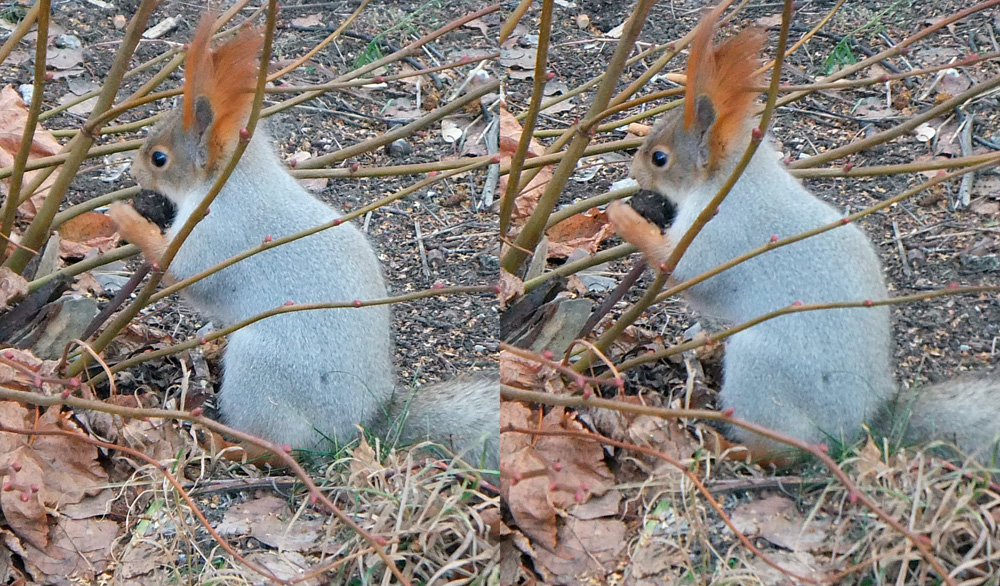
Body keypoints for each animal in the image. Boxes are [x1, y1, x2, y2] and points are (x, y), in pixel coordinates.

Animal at [107, 16, 498, 468]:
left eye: (159, 159)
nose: (134, 172)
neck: (230, 182)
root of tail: (360, 425)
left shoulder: (220, 234)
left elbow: (187, 273)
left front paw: (125, 218)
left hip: (262, 368)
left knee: (277, 447)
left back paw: (227, 444)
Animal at [604, 6, 996, 464]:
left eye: (660, 159)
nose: (632, 171)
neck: (733, 180)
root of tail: (861, 424)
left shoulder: (721, 233)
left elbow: (684, 273)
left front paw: (623, 217)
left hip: (761, 370)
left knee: (782, 450)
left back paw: (732, 447)